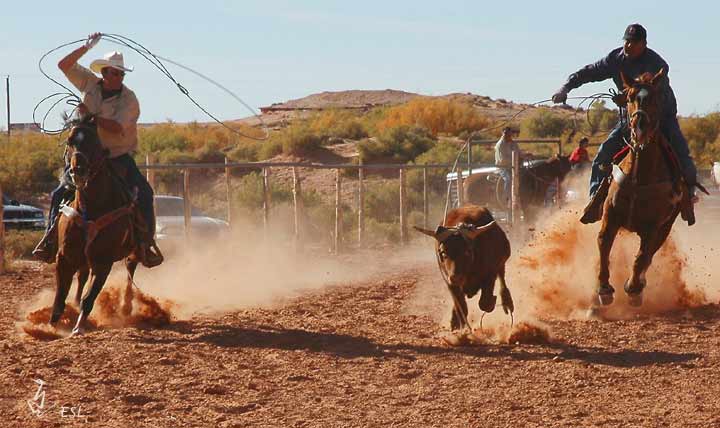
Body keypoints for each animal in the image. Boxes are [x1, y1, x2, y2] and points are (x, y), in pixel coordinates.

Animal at [50, 116, 143, 334]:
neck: (91, 207)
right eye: (70, 141)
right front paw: (51, 326)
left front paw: (78, 327)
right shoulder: (64, 256)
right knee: (82, 276)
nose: (78, 170)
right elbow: (60, 296)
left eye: (95, 142)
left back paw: (126, 307)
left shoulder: (102, 262)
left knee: (130, 269)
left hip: (132, 252)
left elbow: (90, 297)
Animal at [592, 69, 684, 310]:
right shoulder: (610, 214)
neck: (639, 177)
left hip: (666, 226)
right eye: (630, 97)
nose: (639, 126)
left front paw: (633, 289)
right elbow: (603, 243)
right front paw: (603, 288)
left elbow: (642, 256)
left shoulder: (654, 225)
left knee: (649, 255)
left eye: (654, 98)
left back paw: (639, 285)